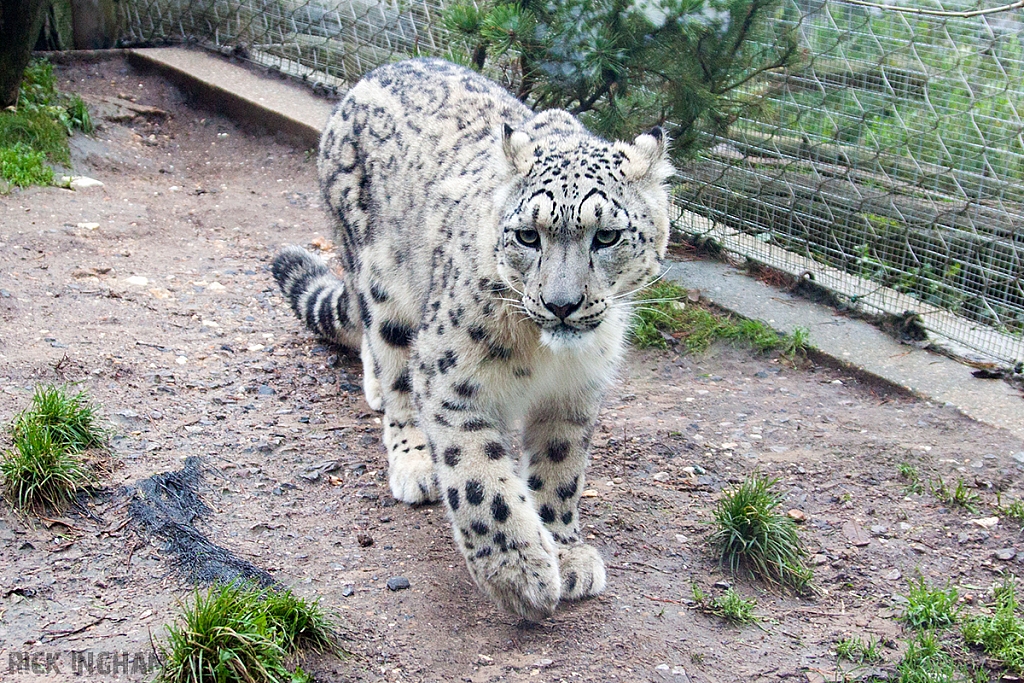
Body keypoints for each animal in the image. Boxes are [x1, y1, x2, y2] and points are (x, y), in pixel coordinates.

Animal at [272, 58, 671, 622]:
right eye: (528, 236)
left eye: (607, 236)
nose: (561, 304)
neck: (546, 357)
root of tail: (368, 76)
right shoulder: (454, 380)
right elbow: (482, 480)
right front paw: (520, 574)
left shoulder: (577, 393)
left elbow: (560, 469)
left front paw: (565, 551)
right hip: (383, 283)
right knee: (391, 359)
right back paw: (412, 455)